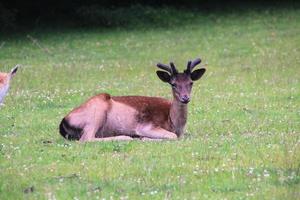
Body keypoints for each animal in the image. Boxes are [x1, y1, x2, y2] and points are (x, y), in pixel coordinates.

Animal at [60, 57, 206, 141]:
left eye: (191, 83)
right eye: (173, 84)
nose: (185, 98)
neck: (174, 123)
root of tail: (63, 122)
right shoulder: (146, 125)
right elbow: (173, 136)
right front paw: (144, 138)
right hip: (96, 112)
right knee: (86, 138)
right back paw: (126, 137)